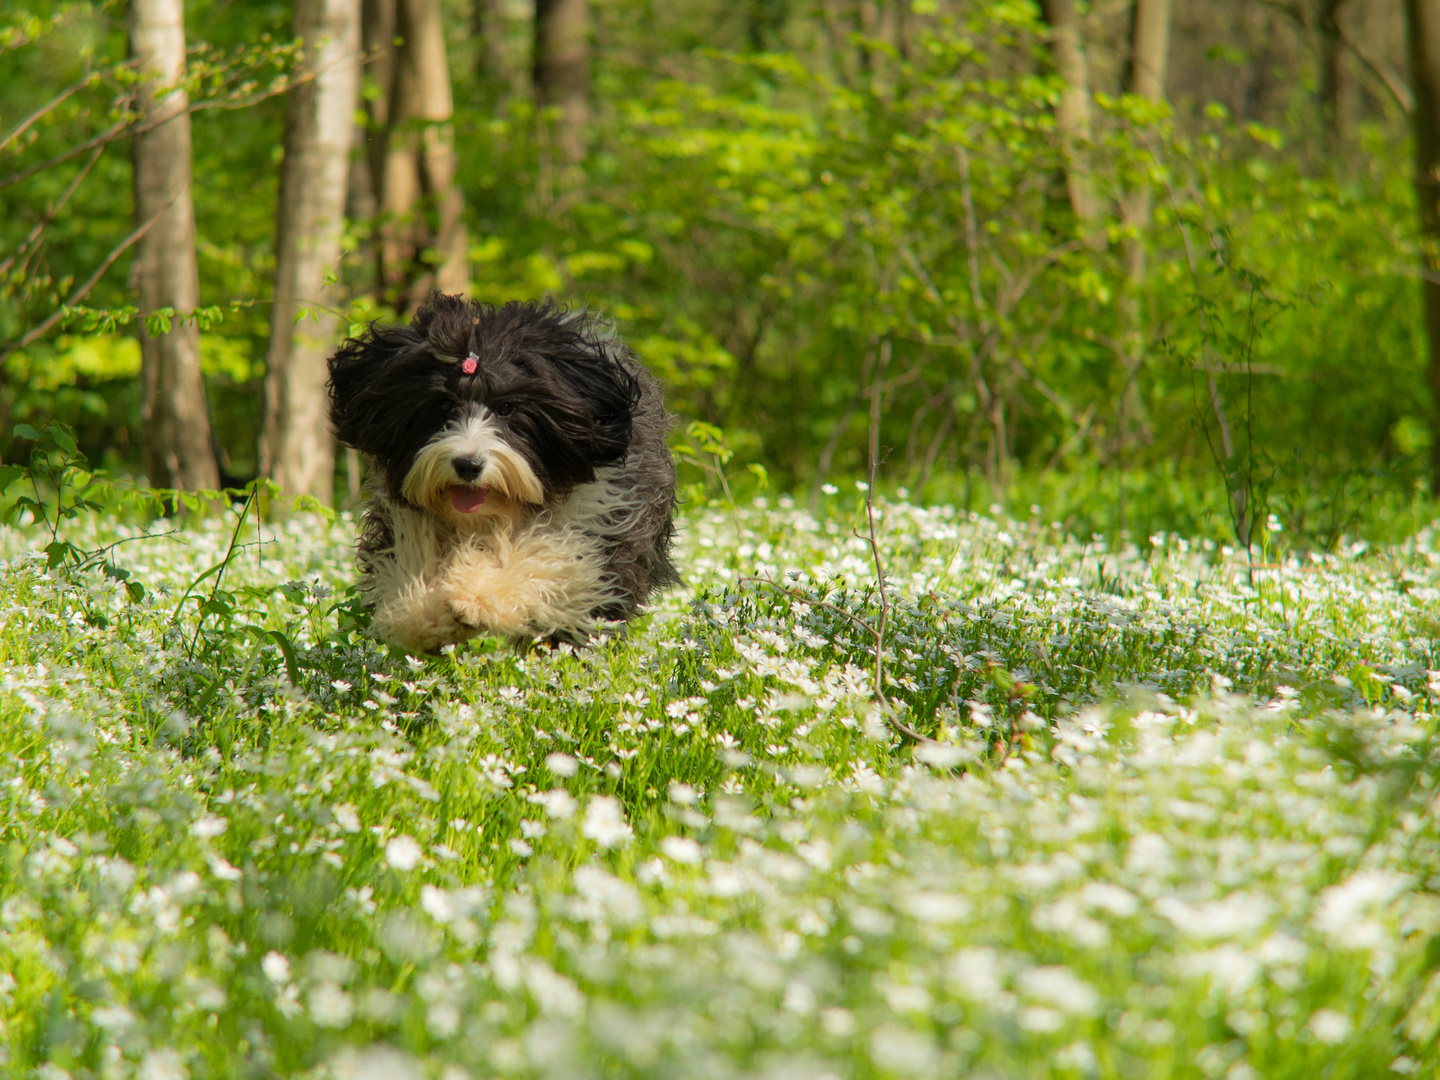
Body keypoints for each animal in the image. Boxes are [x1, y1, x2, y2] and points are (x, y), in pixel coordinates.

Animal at [326, 292, 679, 656]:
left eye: (507, 408)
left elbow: (542, 556)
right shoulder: (404, 519)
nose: (468, 465)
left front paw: (476, 595)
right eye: (442, 405)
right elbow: (411, 561)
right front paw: (425, 613)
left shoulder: (598, 523)